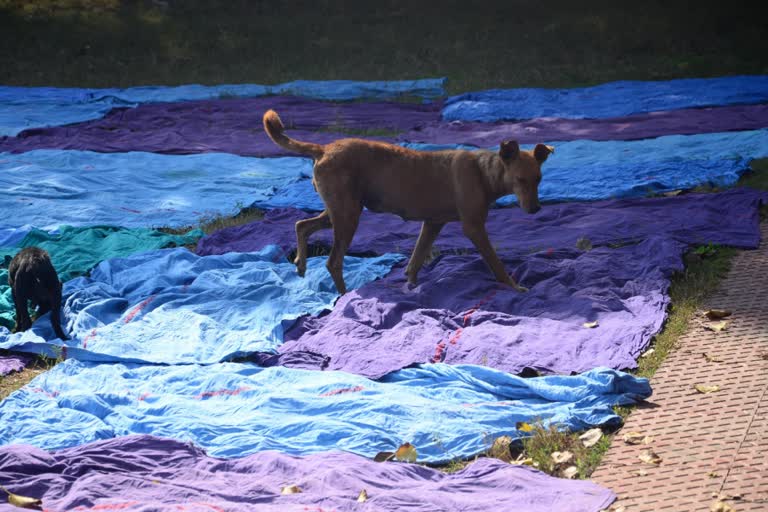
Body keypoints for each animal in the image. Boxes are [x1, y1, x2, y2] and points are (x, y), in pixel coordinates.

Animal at [264, 110, 552, 294]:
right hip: (348, 217)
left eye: (539, 179)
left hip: (340, 211)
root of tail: (324, 148)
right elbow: (496, 263)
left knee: (302, 225)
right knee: (332, 261)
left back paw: (301, 264)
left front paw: (411, 286)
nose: (536, 209)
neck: (484, 172)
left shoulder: (433, 224)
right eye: (520, 180)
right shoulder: (474, 227)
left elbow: (416, 259)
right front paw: (515, 287)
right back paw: (344, 296)